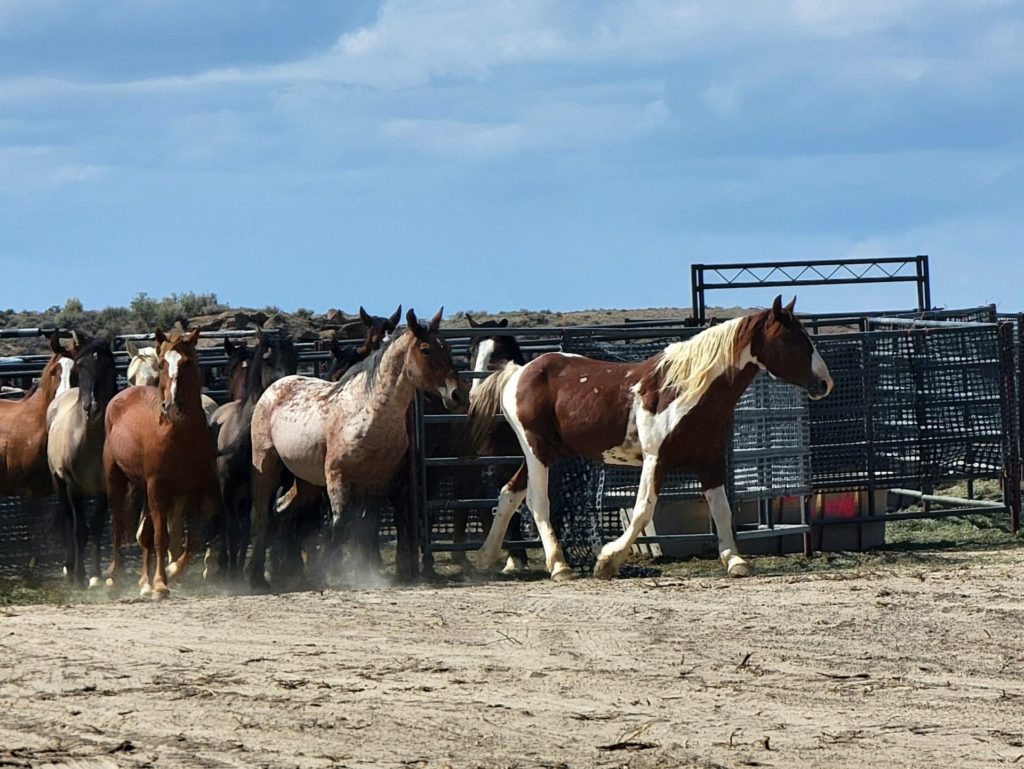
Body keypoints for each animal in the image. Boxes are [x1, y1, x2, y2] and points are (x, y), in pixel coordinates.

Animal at [47, 333, 119, 585]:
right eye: (81, 365)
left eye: (109, 366)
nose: (92, 407)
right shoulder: (73, 486)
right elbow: (80, 530)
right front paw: (79, 576)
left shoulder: (106, 488)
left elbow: (96, 528)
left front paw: (96, 574)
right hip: (59, 483)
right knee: (68, 520)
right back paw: (69, 567)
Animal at [103, 327, 220, 597]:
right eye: (164, 363)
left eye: (188, 362)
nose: (172, 405)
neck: (178, 435)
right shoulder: (157, 487)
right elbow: (161, 537)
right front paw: (160, 583)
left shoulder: (201, 489)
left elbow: (195, 535)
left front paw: (172, 570)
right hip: (117, 480)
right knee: (119, 526)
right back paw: (113, 577)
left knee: (145, 533)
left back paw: (144, 581)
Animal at [251, 309, 464, 593]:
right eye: (426, 349)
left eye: (448, 347)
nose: (457, 394)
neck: (369, 413)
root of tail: (274, 389)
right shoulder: (337, 477)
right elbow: (340, 525)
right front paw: (326, 573)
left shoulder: (377, 481)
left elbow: (367, 526)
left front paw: (369, 573)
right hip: (267, 468)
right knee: (262, 517)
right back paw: (257, 578)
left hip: (306, 481)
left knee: (283, 512)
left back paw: (286, 573)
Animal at [468, 296, 831, 581]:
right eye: (792, 340)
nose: (825, 383)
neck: (683, 390)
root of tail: (518, 372)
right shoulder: (656, 459)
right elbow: (644, 508)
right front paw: (607, 561)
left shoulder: (710, 460)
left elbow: (722, 510)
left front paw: (735, 560)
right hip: (537, 450)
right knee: (537, 501)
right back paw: (559, 565)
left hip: (548, 452)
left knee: (509, 494)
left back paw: (486, 558)